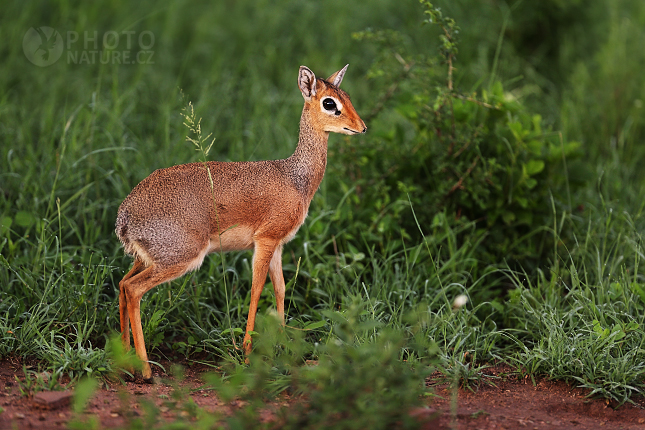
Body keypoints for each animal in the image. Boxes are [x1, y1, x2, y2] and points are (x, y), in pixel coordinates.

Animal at [116, 63, 368, 380]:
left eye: (346, 96)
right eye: (329, 103)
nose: (362, 127)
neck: (294, 178)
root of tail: (124, 216)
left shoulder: (278, 245)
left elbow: (280, 288)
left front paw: (282, 346)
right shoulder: (265, 240)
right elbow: (257, 290)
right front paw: (248, 354)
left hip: (146, 259)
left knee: (123, 285)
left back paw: (125, 362)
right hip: (180, 258)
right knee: (134, 290)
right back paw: (146, 371)